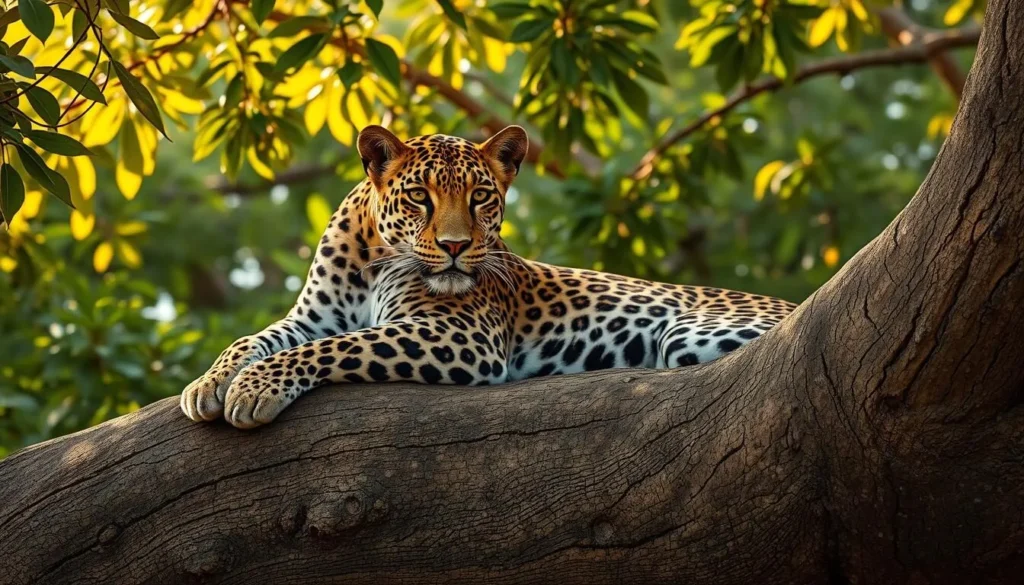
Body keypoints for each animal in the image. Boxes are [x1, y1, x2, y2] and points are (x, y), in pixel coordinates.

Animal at [181, 125, 797, 429]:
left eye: (480, 197)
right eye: (420, 197)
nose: (455, 247)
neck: (372, 257)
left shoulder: (461, 334)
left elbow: (335, 348)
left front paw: (255, 389)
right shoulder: (310, 316)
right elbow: (257, 339)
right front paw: (208, 384)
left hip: (689, 334)